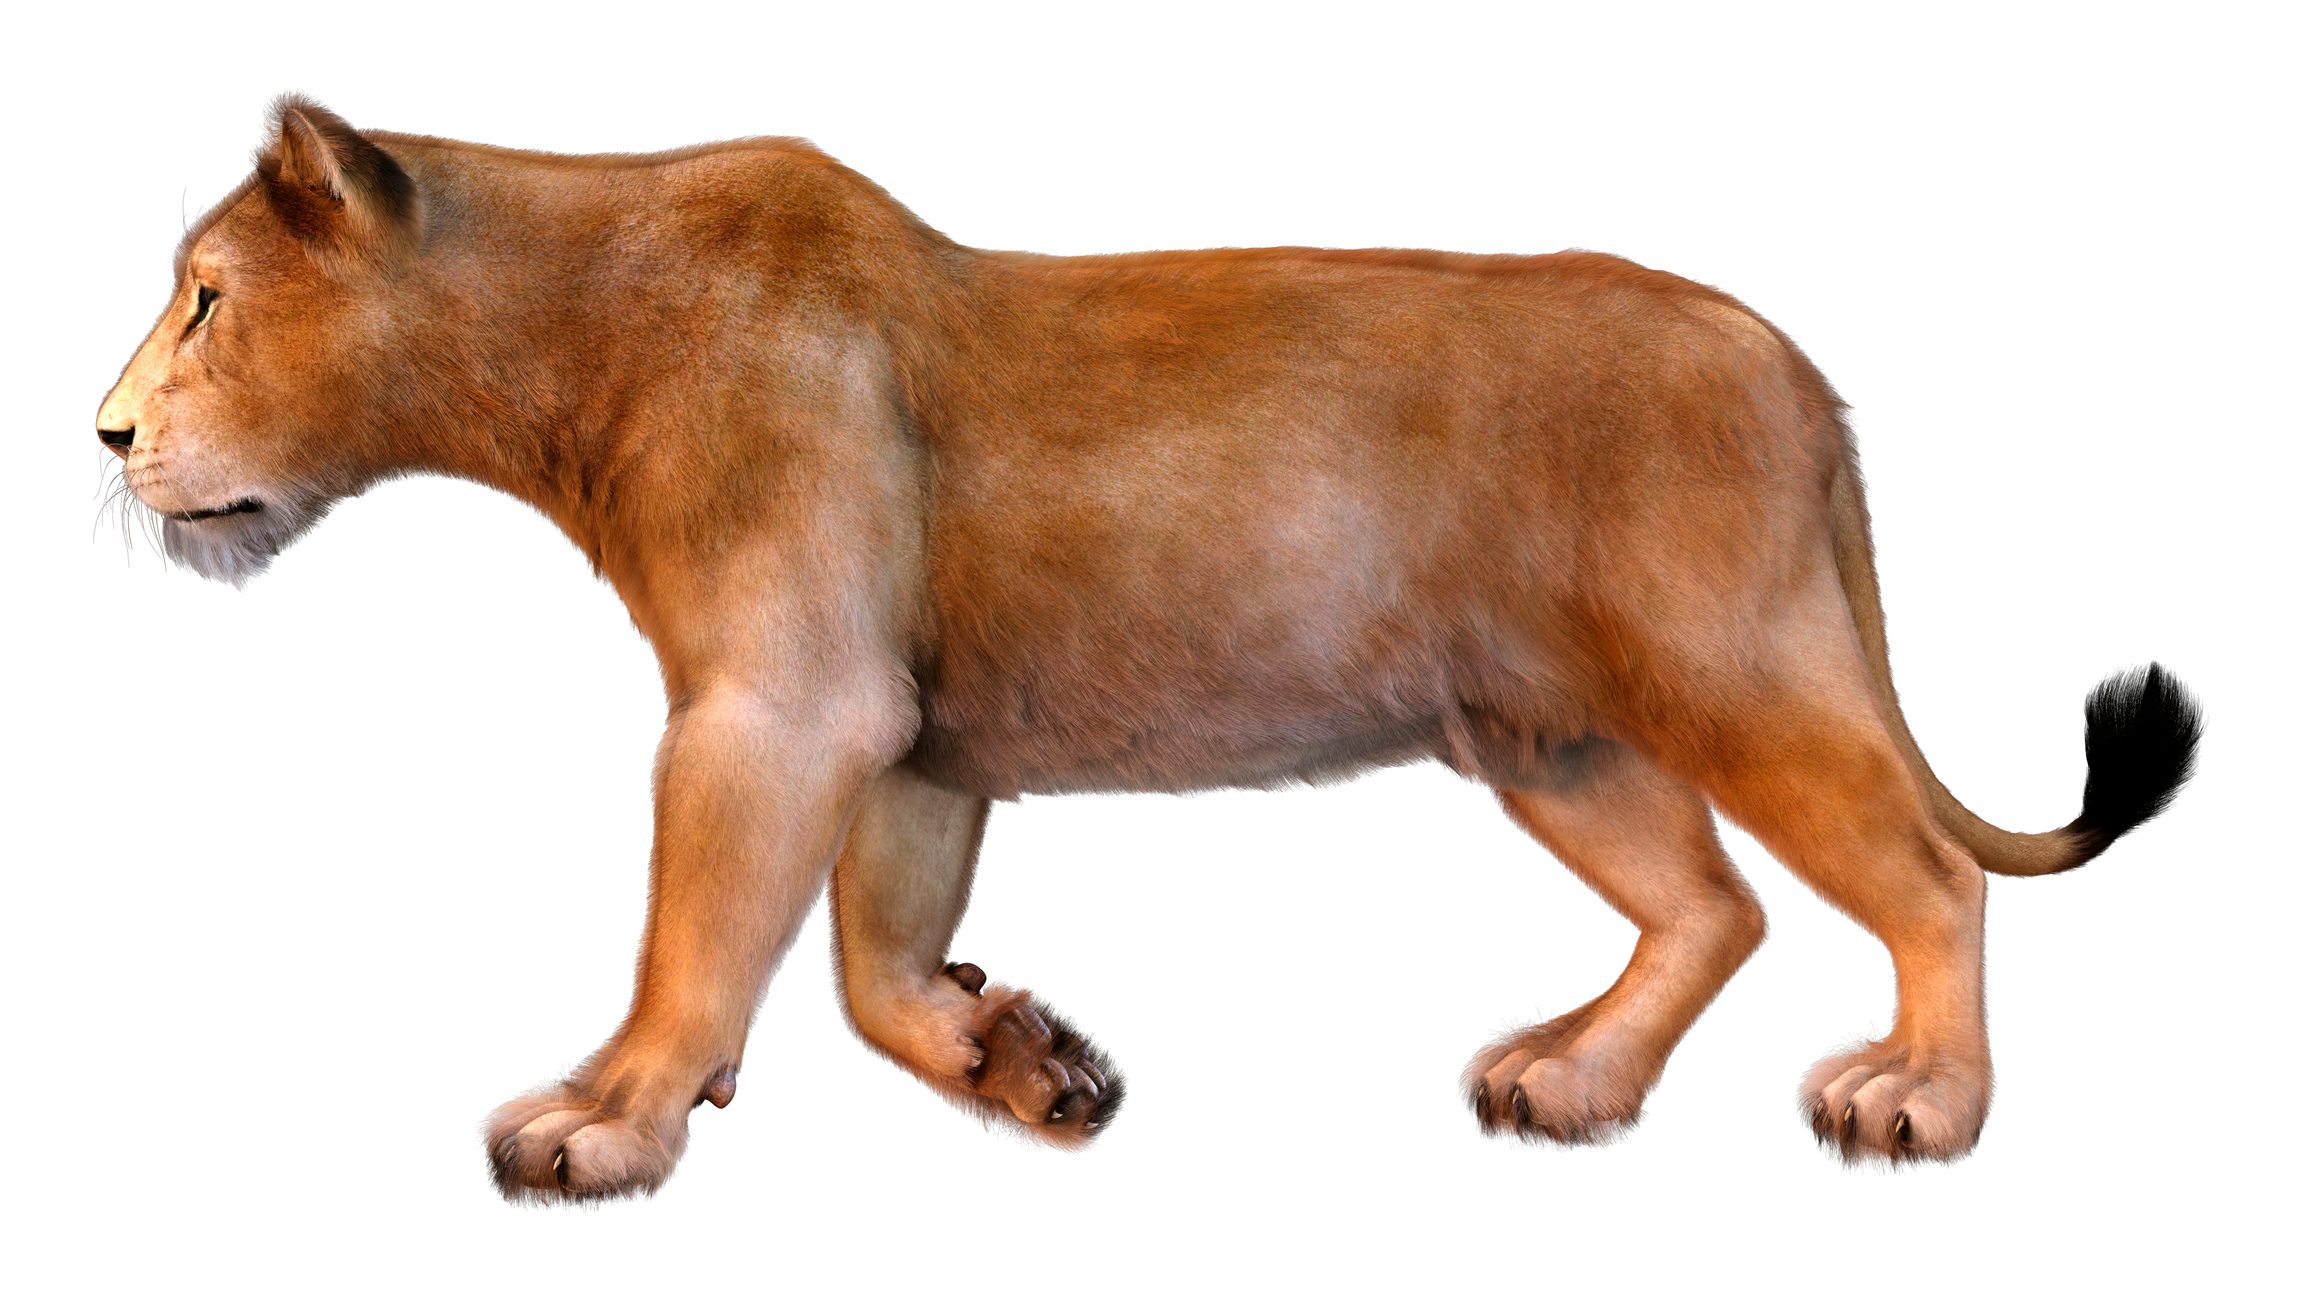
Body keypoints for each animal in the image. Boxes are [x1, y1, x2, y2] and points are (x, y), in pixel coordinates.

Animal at [96, 97, 2201, 1202]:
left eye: (204, 299)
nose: (104, 434)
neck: (557, 335)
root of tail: (1802, 373)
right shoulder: (910, 737)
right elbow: (867, 966)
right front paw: (1024, 1061)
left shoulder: (782, 707)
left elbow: (698, 933)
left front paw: (601, 1117)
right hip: (1550, 737)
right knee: (1714, 906)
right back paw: (1570, 1082)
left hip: (1734, 669)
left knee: (1923, 873)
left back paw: (1915, 1101)